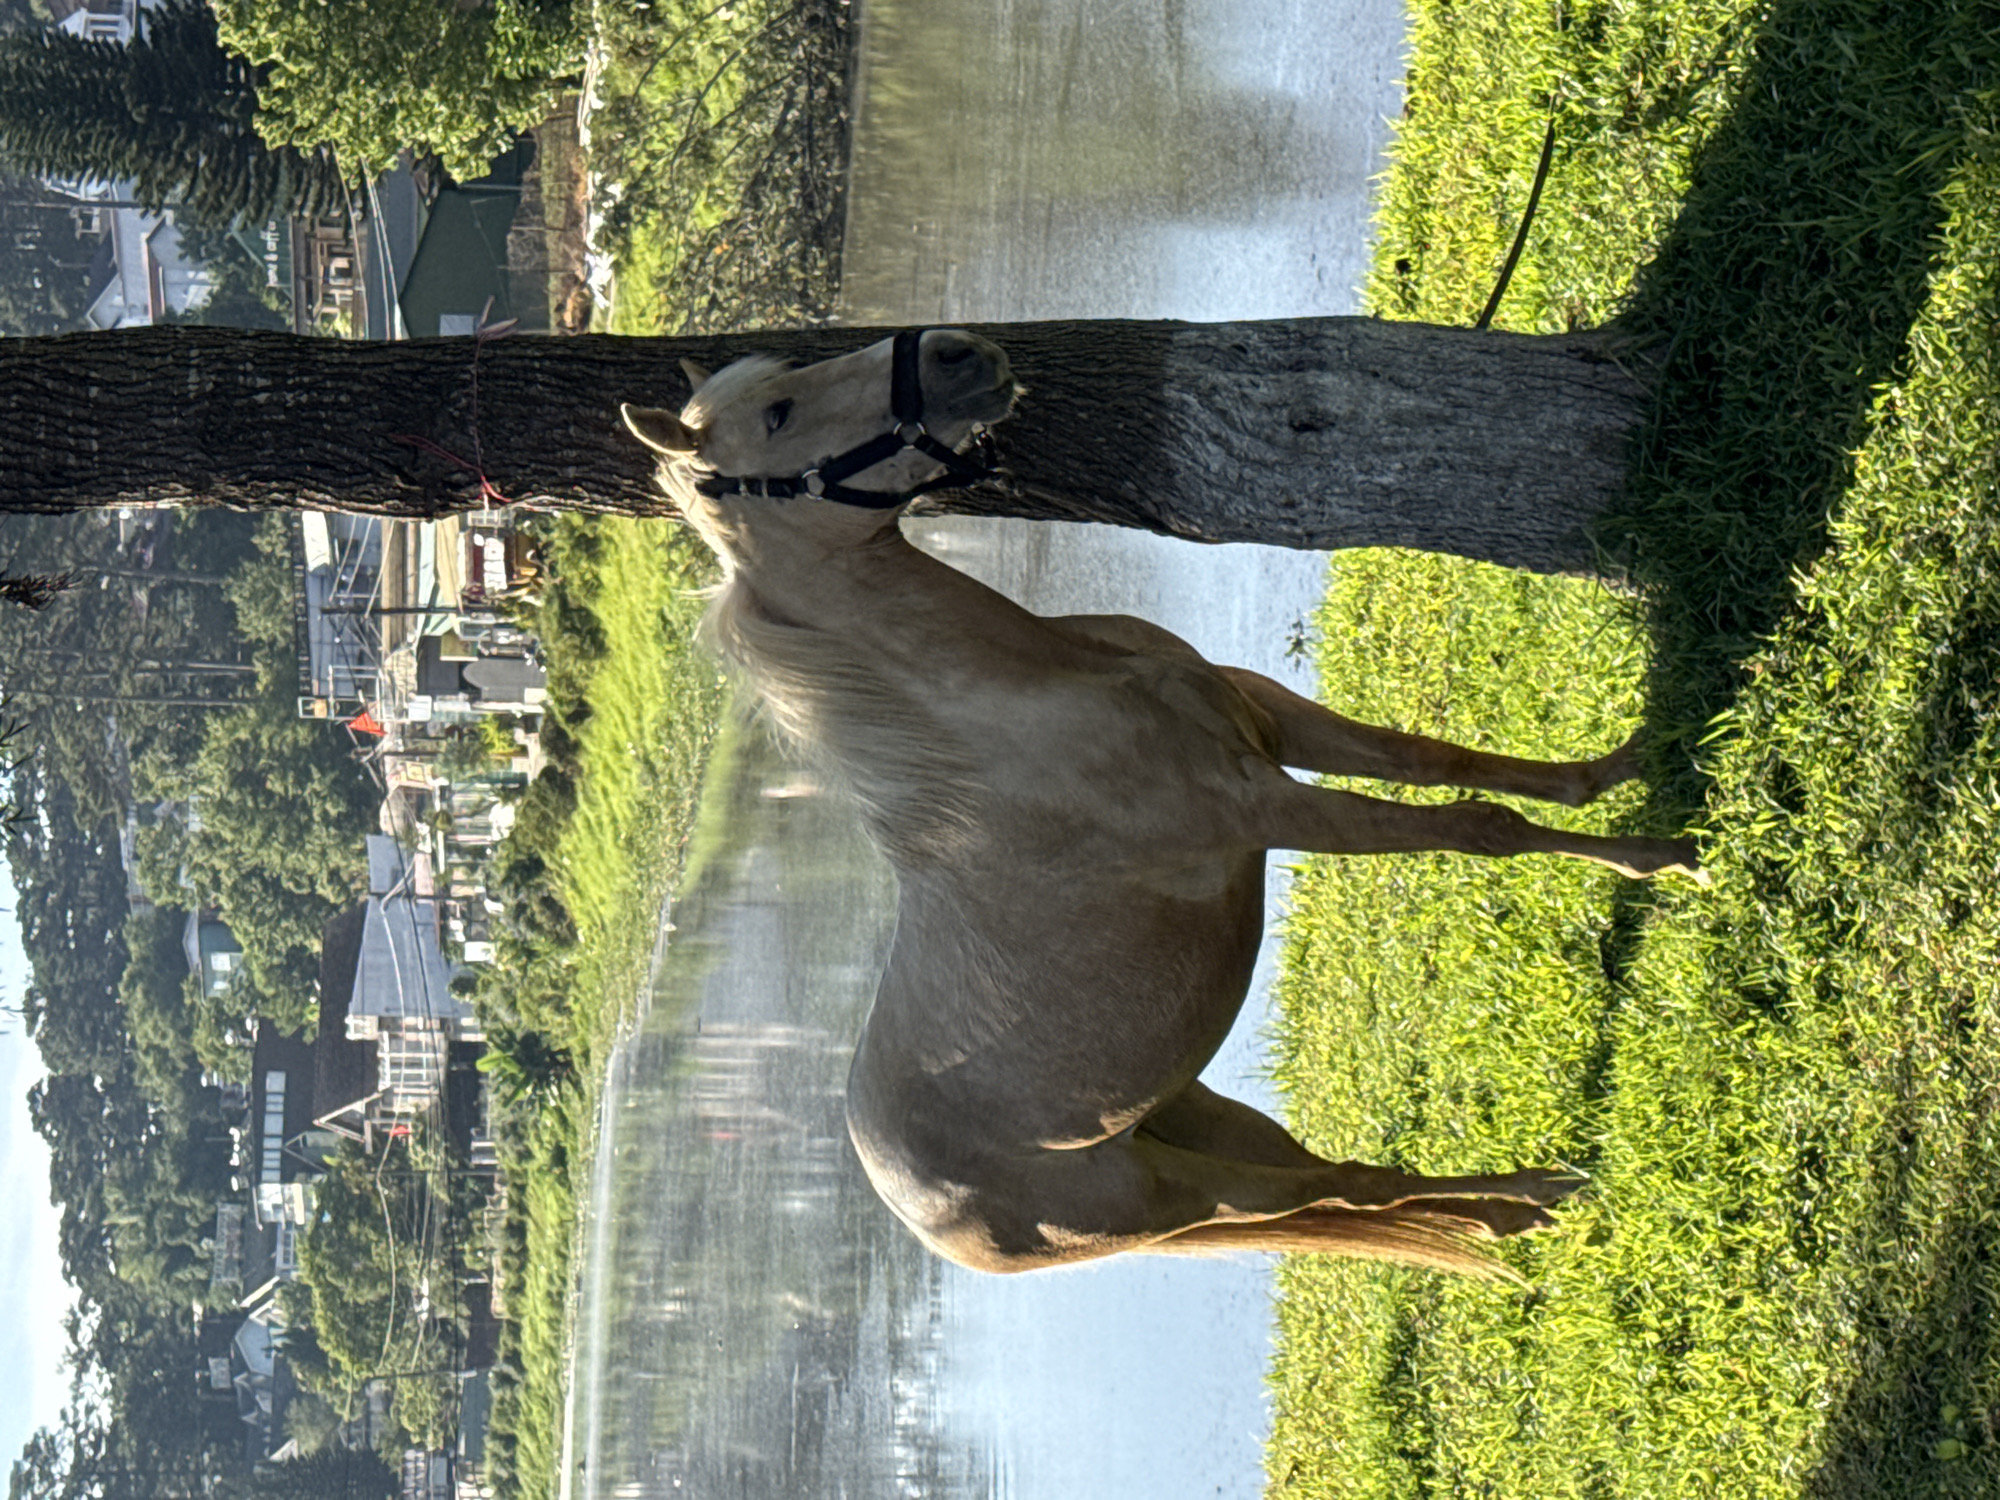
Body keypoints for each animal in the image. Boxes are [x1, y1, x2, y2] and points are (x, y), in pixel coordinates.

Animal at [620, 328, 1701, 1279]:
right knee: (1343, 1193)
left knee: (1358, 1184)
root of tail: (920, 1213)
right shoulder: (1267, 810)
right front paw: (1664, 856)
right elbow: (1480, 829)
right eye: (778, 414)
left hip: (1195, 1120)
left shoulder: (1269, 720)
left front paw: (1619, 767)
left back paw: (1524, 1203)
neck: (1035, 700)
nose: (962, 354)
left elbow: (1436, 760)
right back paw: (1528, 1203)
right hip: (1181, 1197)